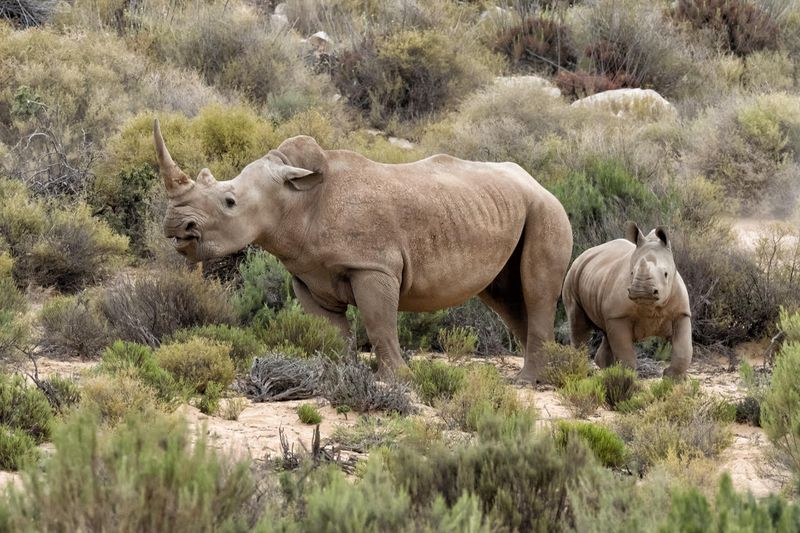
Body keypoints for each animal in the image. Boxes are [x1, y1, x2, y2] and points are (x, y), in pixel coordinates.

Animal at [153, 119, 573, 381]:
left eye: (229, 202)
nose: (177, 227)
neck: (296, 199)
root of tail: (536, 181)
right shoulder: (307, 275)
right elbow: (334, 331)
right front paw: (342, 374)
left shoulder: (373, 266)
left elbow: (378, 322)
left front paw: (398, 380)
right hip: (511, 208)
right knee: (506, 296)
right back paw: (547, 373)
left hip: (546, 208)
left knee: (536, 290)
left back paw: (527, 382)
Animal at [562, 222, 692, 378]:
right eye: (631, 273)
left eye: (666, 274)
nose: (642, 291)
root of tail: (583, 255)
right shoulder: (618, 316)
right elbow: (624, 349)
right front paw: (627, 376)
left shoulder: (681, 313)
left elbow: (684, 347)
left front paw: (673, 377)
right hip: (573, 275)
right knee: (578, 324)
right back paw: (583, 371)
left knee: (604, 332)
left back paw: (607, 369)